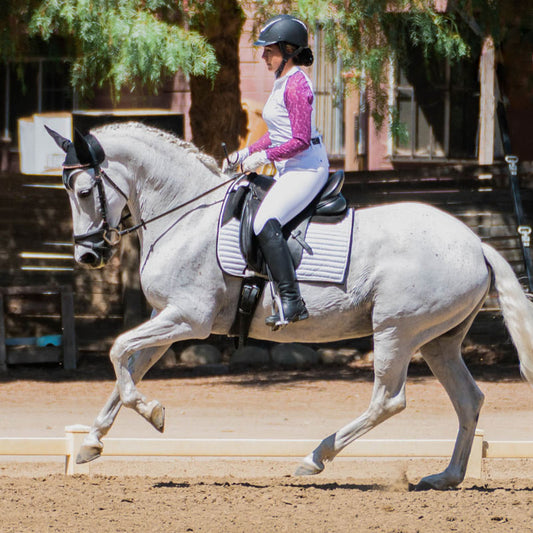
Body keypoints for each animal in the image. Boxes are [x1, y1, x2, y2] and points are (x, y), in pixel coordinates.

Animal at [46, 122, 532, 488]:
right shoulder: (166, 317)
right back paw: (447, 477)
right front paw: (91, 442)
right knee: (468, 399)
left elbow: (117, 353)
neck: (186, 216)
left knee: (388, 401)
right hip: (439, 341)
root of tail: (475, 244)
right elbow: (128, 366)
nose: (88, 255)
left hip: (396, 330)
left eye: (84, 191)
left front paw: (153, 412)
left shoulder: (189, 318)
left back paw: (314, 458)